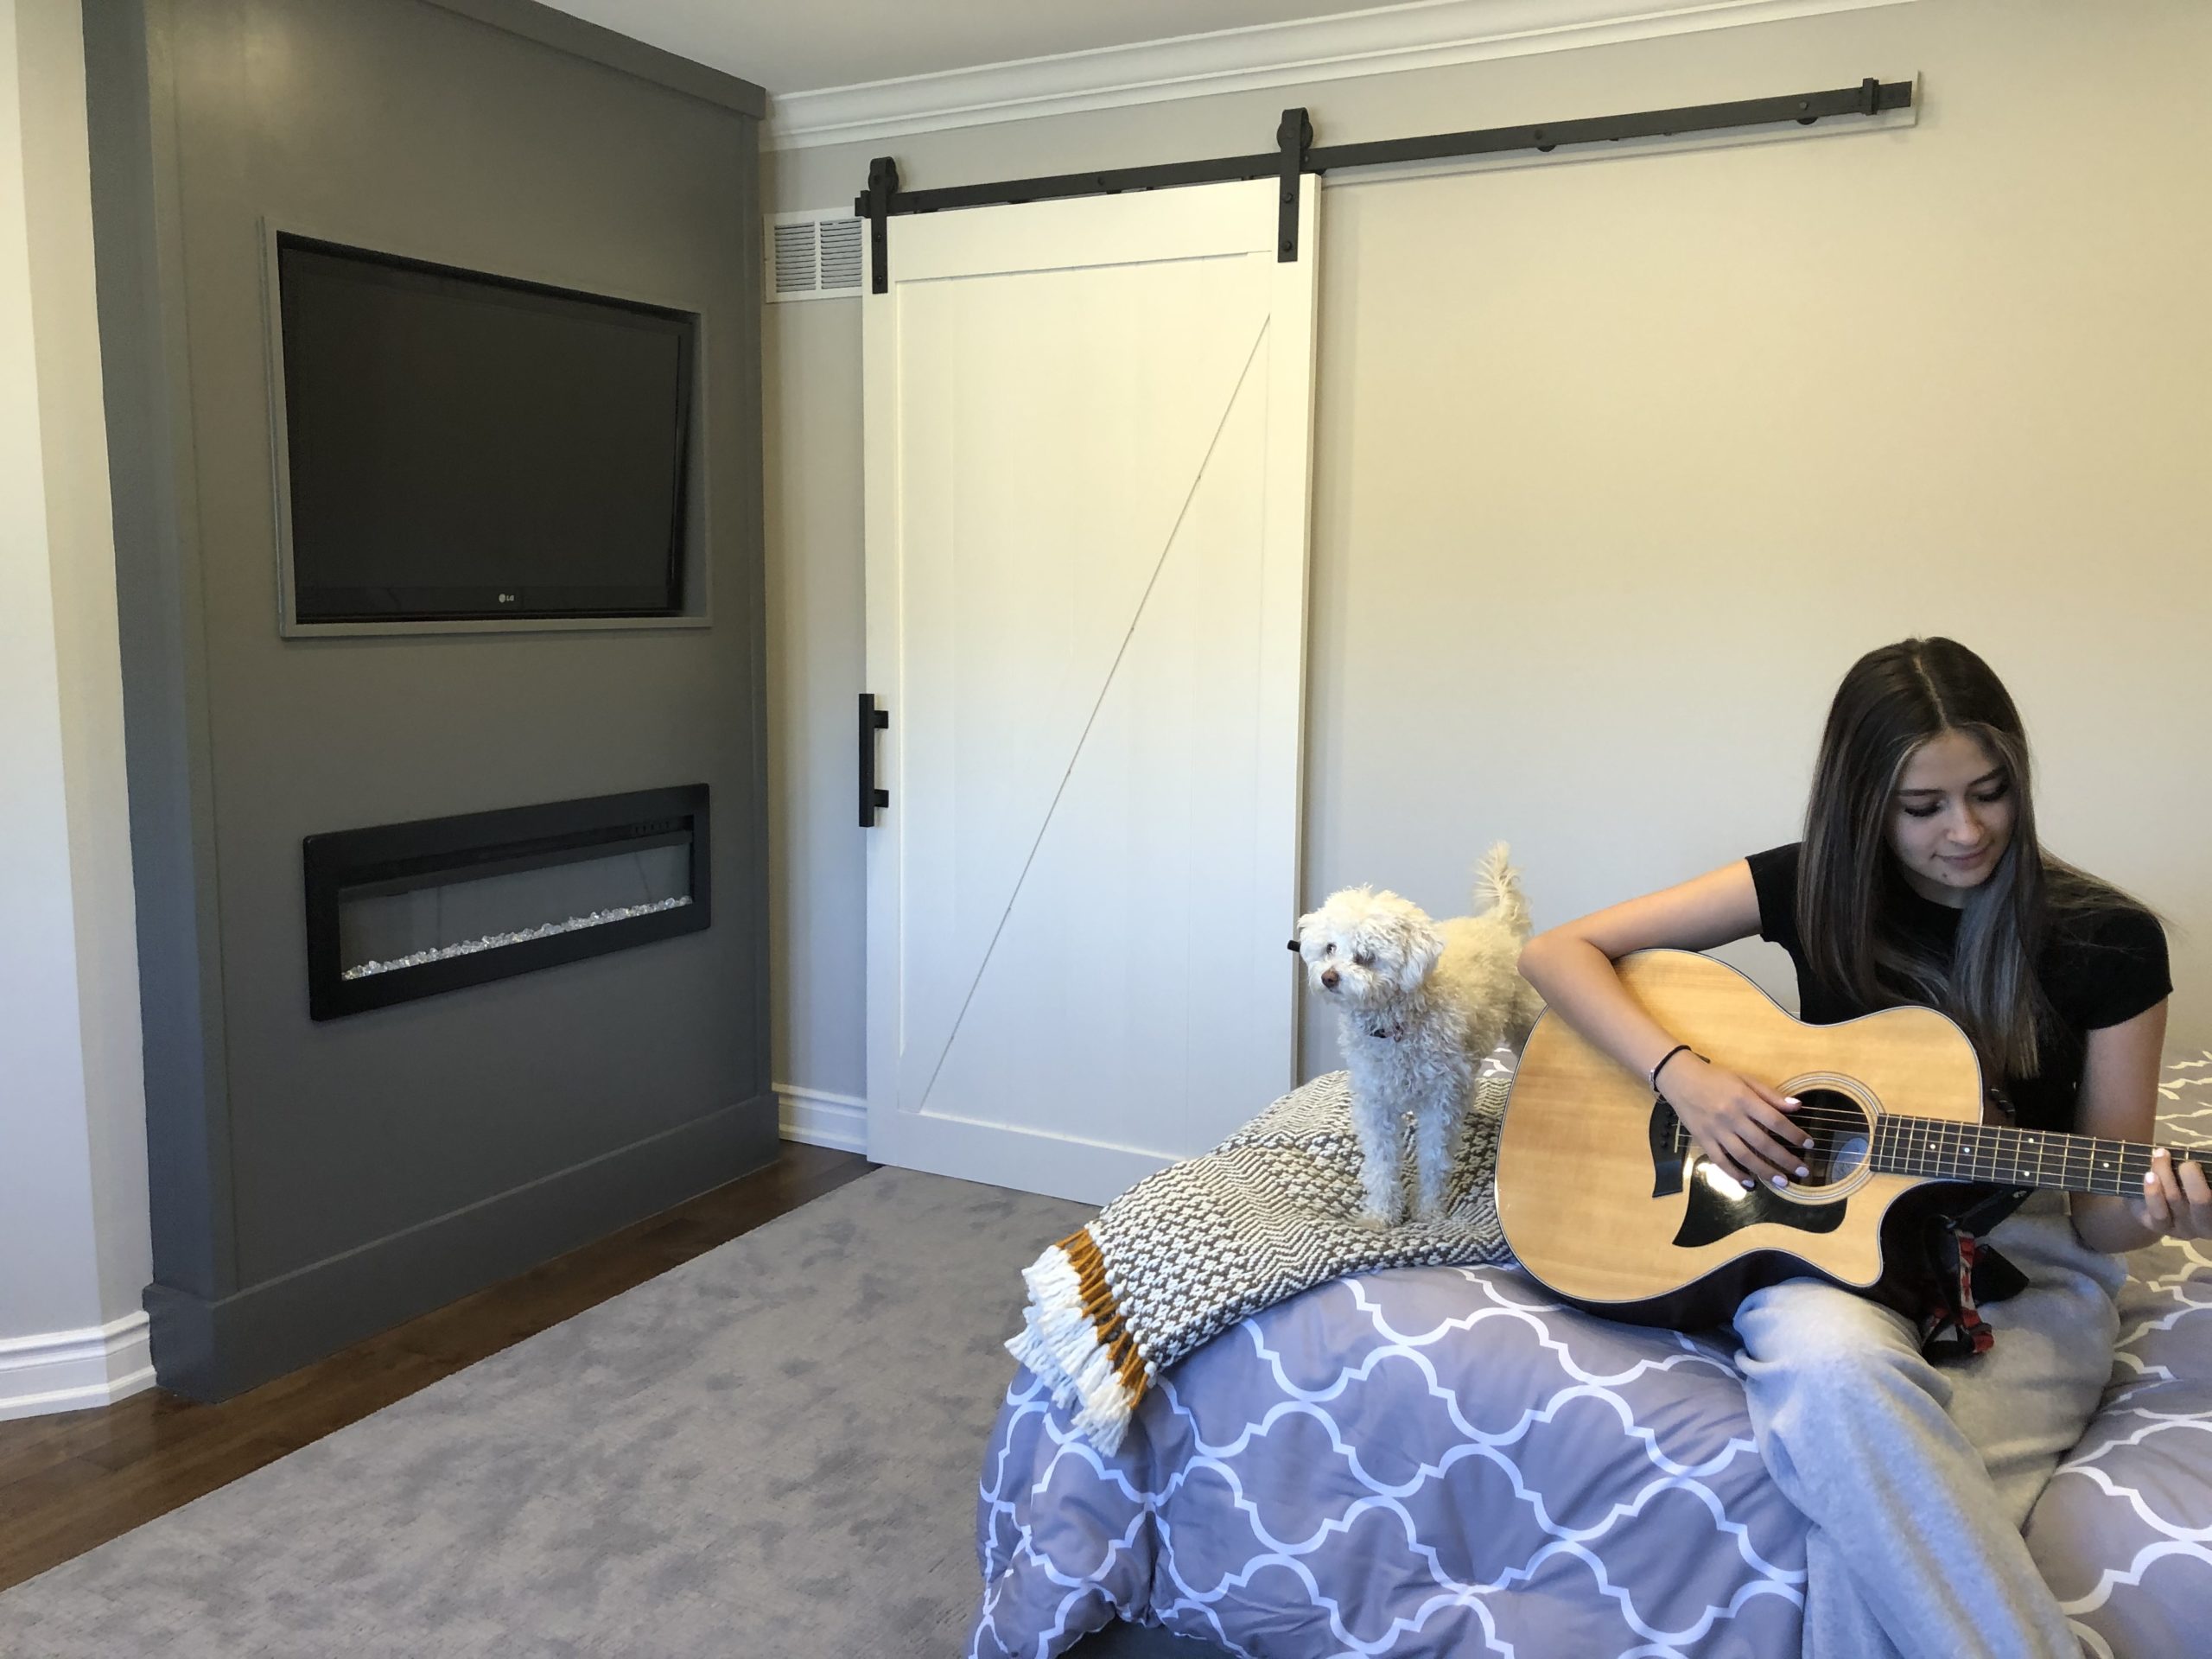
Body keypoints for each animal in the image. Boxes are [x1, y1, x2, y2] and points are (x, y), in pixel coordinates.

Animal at [1292, 849, 1539, 1230]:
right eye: (1330, 947)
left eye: (1365, 957)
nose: (1329, 977)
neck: (1397, 1026)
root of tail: (1497, 923)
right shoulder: (1376, 1102)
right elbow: (1381, 1163)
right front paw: (1380, 1216)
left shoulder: (1441, 1100)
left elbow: (1434, 1159)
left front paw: (1429, 1212)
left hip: (1523, 1021)